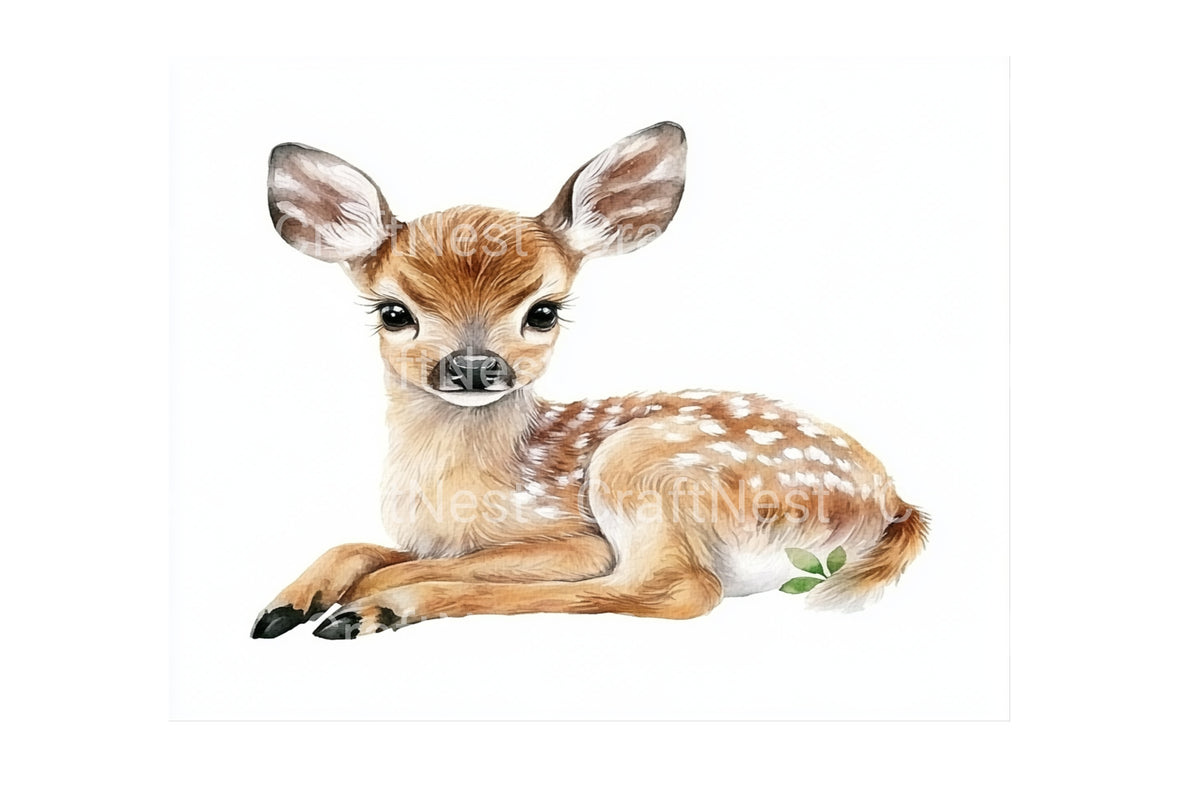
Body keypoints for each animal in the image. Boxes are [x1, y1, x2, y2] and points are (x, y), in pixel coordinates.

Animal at [251, 121, 928, 640]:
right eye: (393, 312)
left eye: (543, 311)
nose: (473, 366)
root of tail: (893, 505)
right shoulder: (432, 541)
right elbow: (359, 546)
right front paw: (286, 603)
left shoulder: (575, 536)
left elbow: (413, 566)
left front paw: (357, 599)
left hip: (644, 465)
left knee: (678, 590)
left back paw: (379, 611)